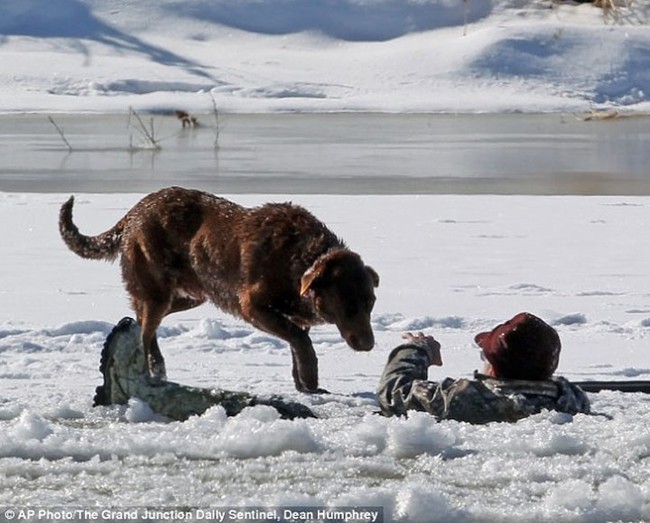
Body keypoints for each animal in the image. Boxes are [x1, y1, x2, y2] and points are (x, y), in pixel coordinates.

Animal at [59, 188, 380, 392]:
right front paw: (310, 379)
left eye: (371, 302)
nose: (368, 345)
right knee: (146, 330)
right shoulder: (253, 306)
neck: (300, 258)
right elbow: (301, 341)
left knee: (142, 319)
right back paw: (151, 372)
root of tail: (135, 211)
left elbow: (297, 344)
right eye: (346, 303)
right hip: (159, 292)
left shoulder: (297, 316)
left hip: (191, 295)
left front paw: (303, 384)